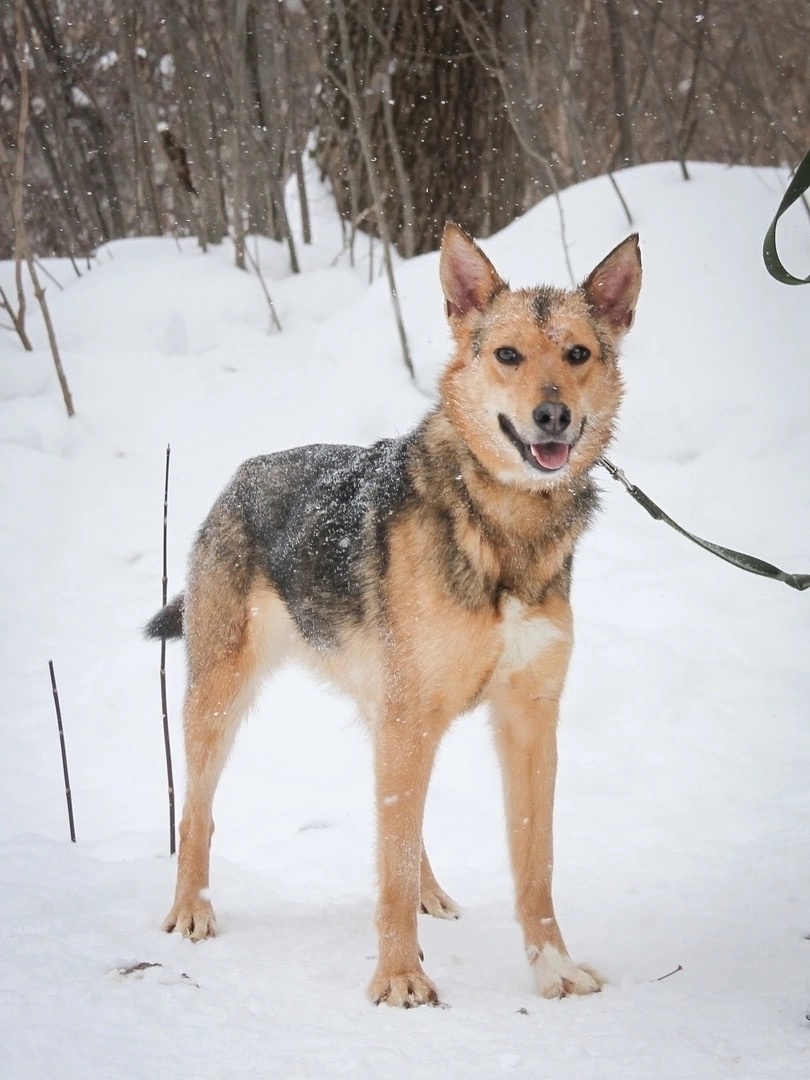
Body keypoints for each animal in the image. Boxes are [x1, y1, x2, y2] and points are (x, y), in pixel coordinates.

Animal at [144, 223, 639, 1006]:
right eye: (508, 355)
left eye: (577, 354)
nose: (553, 416)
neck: (504, 529)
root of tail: (243, 474)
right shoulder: (415, 716)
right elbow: (393, 865)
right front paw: (400, 979)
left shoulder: (529, 720)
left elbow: (534, 865)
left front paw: (552, 967)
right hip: (221, 700)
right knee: (199, 813)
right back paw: (191, 909)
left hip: (390, 713)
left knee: (402, 829)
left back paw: (431, 892)